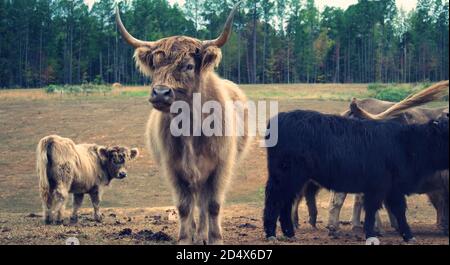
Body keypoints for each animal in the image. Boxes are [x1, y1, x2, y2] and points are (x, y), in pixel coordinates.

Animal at [266, 109, 448, 241]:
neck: (405, 143)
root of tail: (280, 118)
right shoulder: (381, 188)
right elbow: (378, 210)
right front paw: (374, 234)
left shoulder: (391, 189)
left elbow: (394, 210)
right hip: (284, 177)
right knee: (274, 200)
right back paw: (271, 234)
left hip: (293, 180)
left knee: (285, 202)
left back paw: (289, 233)